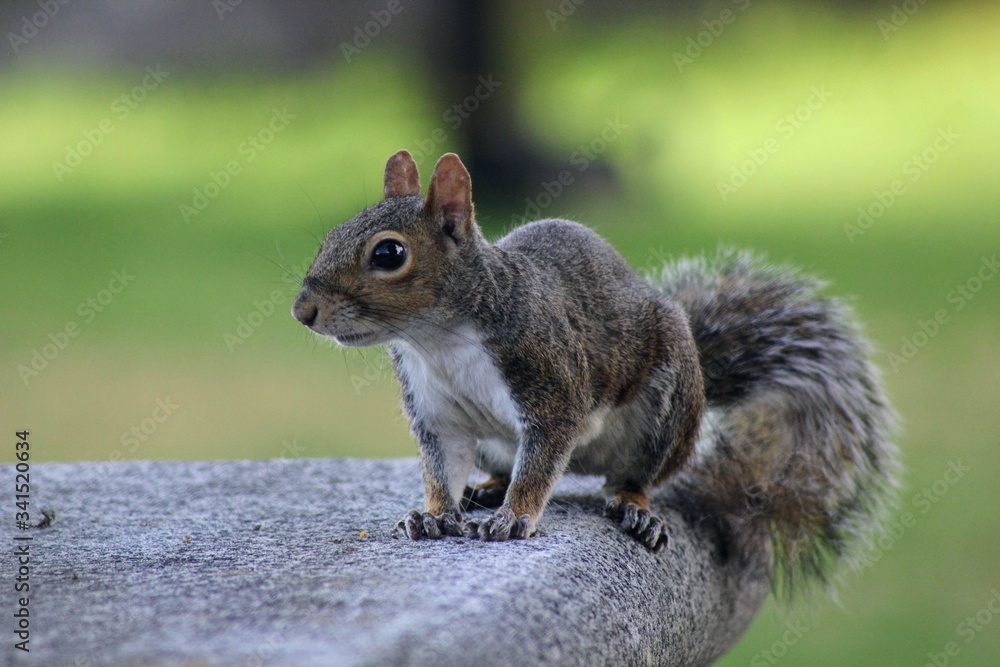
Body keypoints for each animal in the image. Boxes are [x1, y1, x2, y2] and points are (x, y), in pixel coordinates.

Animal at [292, 150, 898, 595]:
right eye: (330, 236)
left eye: (389, 254)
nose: (303, 311)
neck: (437, 340)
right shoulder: (437, 413)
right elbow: (441, 468)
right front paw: (434, 514)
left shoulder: (551, 384)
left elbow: (540, 461)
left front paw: (515, 518)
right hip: (497, 446)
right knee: (501, 467)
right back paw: (485, 490)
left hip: (666, 410)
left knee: (635, 476)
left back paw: (633, 509)